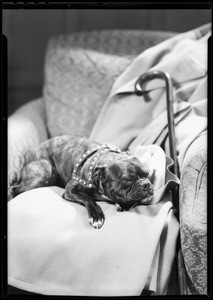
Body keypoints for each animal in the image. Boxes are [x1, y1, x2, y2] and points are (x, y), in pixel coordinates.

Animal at [8, 137, 155, 230]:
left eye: (148, 174)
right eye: (127, 180)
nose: (146, 184)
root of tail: (28, 156)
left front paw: (124, 205)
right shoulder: (71, 189)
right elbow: (88, 198)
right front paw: (96, 216)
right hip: (45, 174)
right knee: (14, 188)